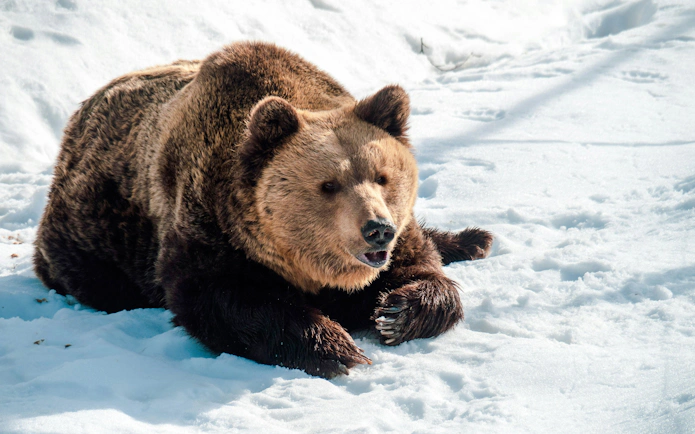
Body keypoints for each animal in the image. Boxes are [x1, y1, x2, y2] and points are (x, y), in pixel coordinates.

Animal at [34, 41, 492, 378]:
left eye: (382, 176)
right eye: (328, 185)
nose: (377, 228)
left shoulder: (398, 239)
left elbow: (424, 272)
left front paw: (394, 313)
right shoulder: (211, 226)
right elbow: (222, 297)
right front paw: (337, 347)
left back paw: (473, 239)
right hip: (92, 230)